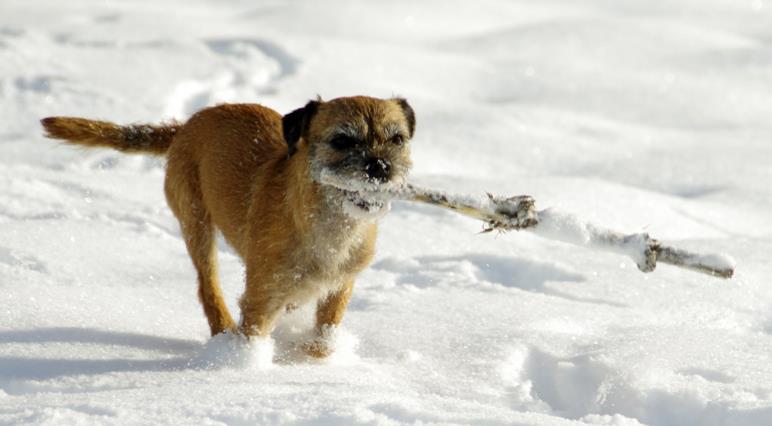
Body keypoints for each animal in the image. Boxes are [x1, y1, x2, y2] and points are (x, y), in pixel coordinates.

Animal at [41, 96, 415, 357]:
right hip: (196, 223)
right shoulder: (262, 296)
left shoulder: (339, 287)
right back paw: (222, 335)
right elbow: (255, 325)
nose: (380, 166)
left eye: (397, 139)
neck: (330, 224)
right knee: (208, 287)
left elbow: (325, 333)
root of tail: (188, 124)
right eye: (342, 140)